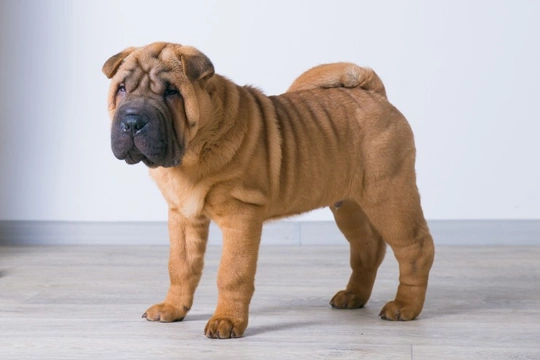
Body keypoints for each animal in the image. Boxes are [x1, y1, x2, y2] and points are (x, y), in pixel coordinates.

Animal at [103, 41, 434, 338]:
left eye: (171, 92)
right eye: (122, 89)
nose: (132, 121)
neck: (192, 153)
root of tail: (374, 94)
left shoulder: (240, 217)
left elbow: (232, 273)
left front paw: (226, 322)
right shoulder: (183, 216)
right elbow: (181, 266)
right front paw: (172, 309)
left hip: (389, 196)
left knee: (416, 248)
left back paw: (404, 306)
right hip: (350, 206)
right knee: (367, 247)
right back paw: (353, 296)